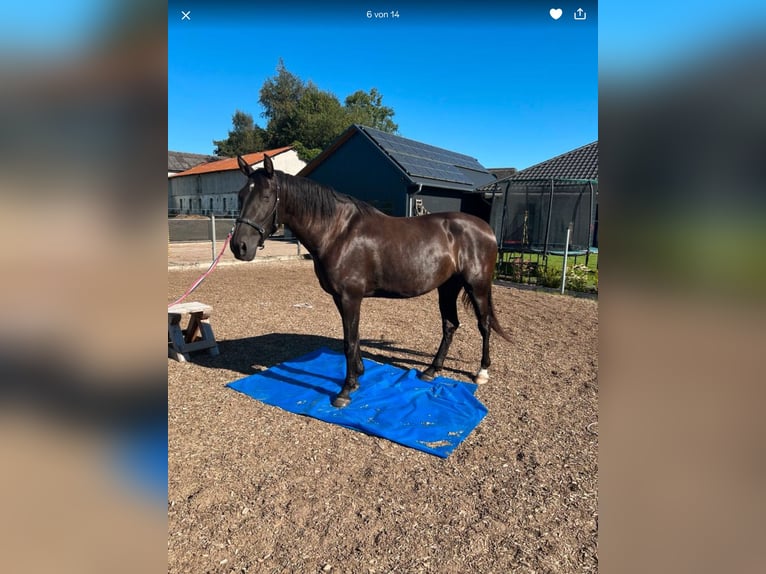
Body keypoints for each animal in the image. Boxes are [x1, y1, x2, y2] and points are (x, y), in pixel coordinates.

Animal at [231, 154, 511, 408]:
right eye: (241, 195)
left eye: (266, 197)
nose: (239, 246)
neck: (338, 232)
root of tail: (486, 229)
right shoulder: (340, 298)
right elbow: (352, 338)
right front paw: (359, 375)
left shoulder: (350, 297)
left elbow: (349, 342)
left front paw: (345, 391)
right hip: (448, 287)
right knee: (450, 325)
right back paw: (431, 371)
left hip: (477, 286)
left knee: (484, 325)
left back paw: (481, 372)